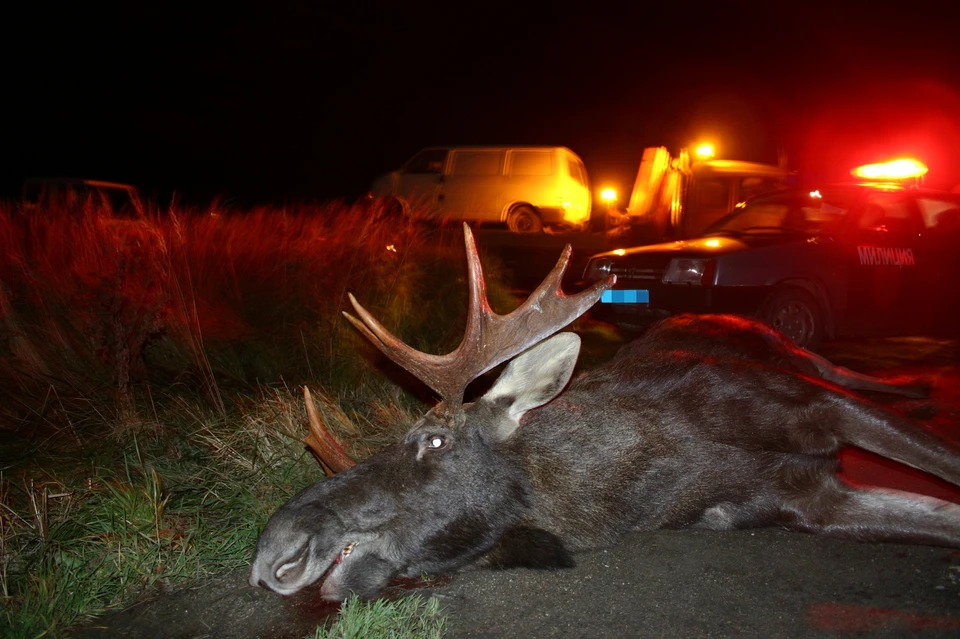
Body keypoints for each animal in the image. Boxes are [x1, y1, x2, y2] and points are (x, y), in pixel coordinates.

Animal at [251, 224, 960, 600]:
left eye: (433, 440)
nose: (273, 551)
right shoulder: (805, 501)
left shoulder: (805, 404)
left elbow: (941, 460)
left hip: (795, 358)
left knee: (851, 370)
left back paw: (922, 385)